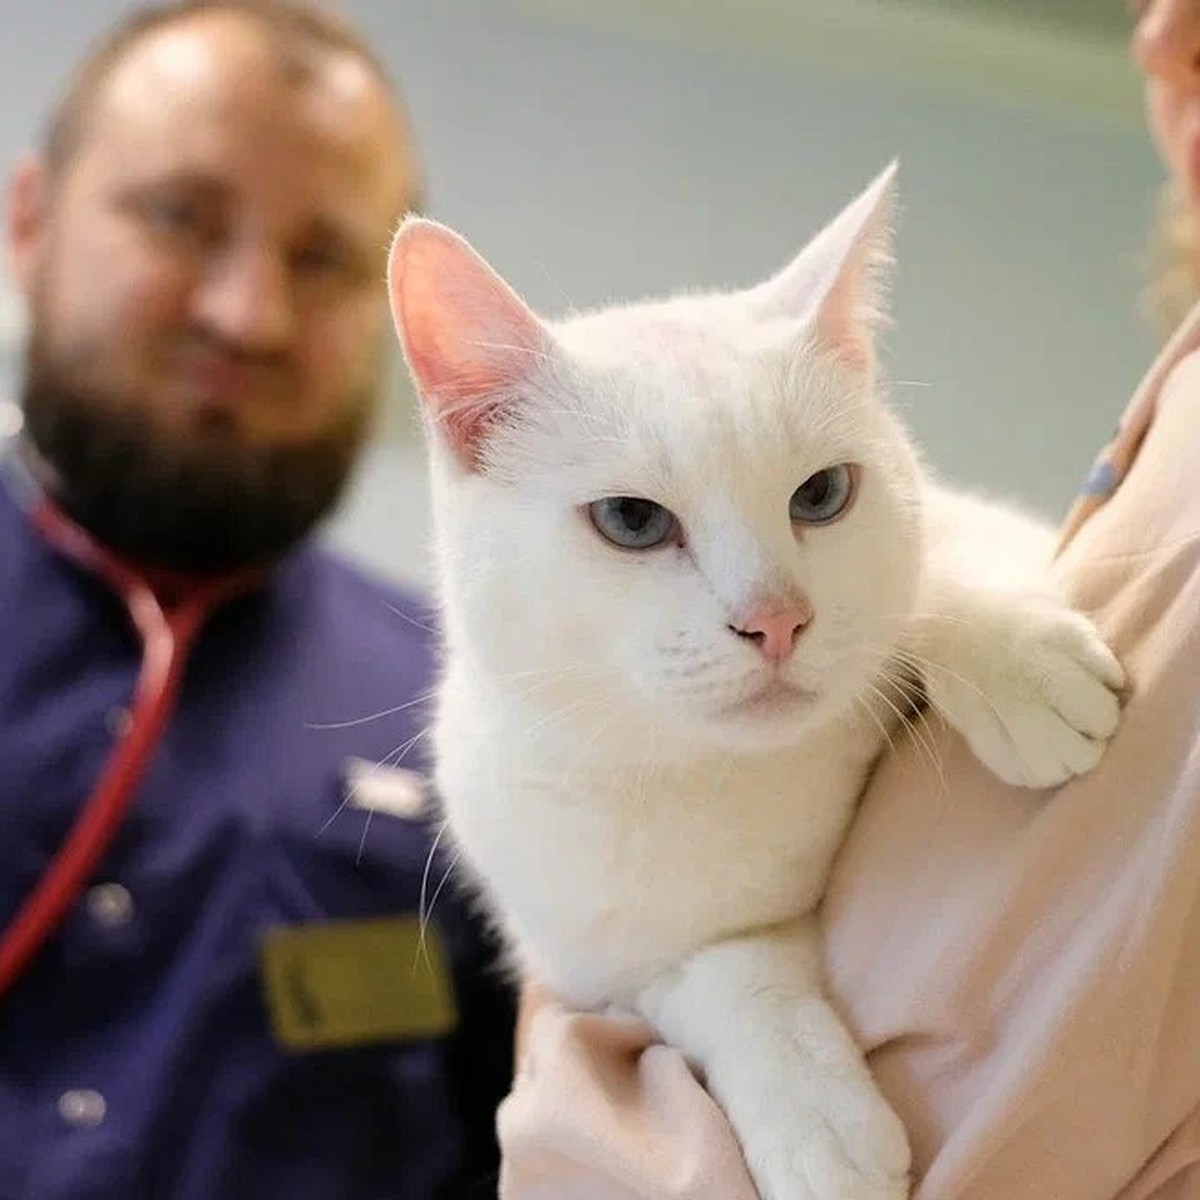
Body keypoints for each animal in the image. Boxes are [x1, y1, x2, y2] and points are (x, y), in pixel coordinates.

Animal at [386, 166, 1123, 1200]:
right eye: (631, 520)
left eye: (821, 495)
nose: (778, 620)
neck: (737, 775)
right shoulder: (607, 974)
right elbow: (730, 976)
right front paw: (812, 1113)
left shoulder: (981, 529)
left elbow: (937, 558)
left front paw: (1017, 660)